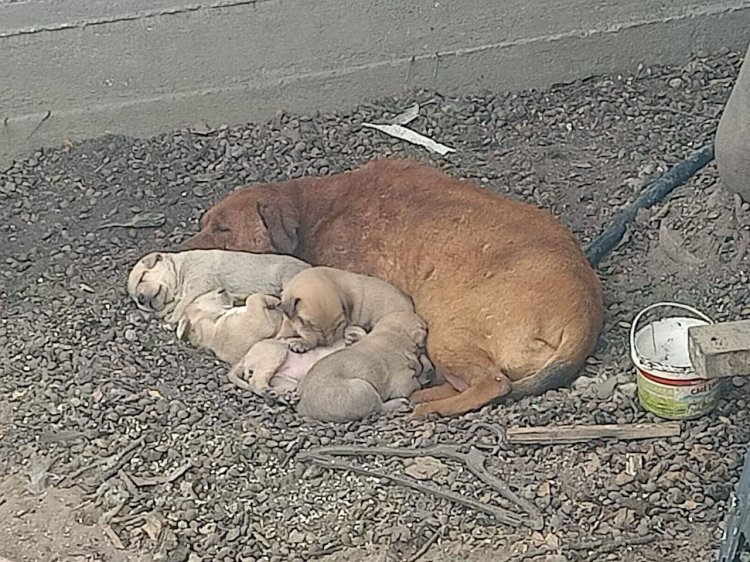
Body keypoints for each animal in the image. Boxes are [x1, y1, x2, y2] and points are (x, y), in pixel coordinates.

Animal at [128, 249, 310, 324]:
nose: (141, 299)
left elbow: (182, 303)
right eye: (136, 301)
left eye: (142, 277)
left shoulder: (198, 281)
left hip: (288, 277)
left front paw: (170, 317)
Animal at [296, 308, 432, 422]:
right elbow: (412, 384)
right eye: (424, 328)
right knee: (378, 407)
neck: (391, 332)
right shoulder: (403, 378)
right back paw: (400, 403)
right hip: (361, 390)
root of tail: (302, 408)